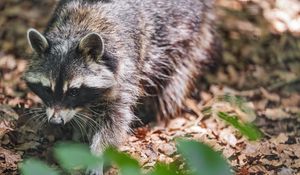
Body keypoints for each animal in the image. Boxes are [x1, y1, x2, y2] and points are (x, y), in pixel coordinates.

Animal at [24, 0, 220, 173]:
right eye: (47, 89)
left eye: (73, 91)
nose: (55, 121)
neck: (75, 30)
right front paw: (77, 133)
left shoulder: (125, 72)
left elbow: (114, 122)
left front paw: (97, 155)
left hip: (183, 31)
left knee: (177, 76)